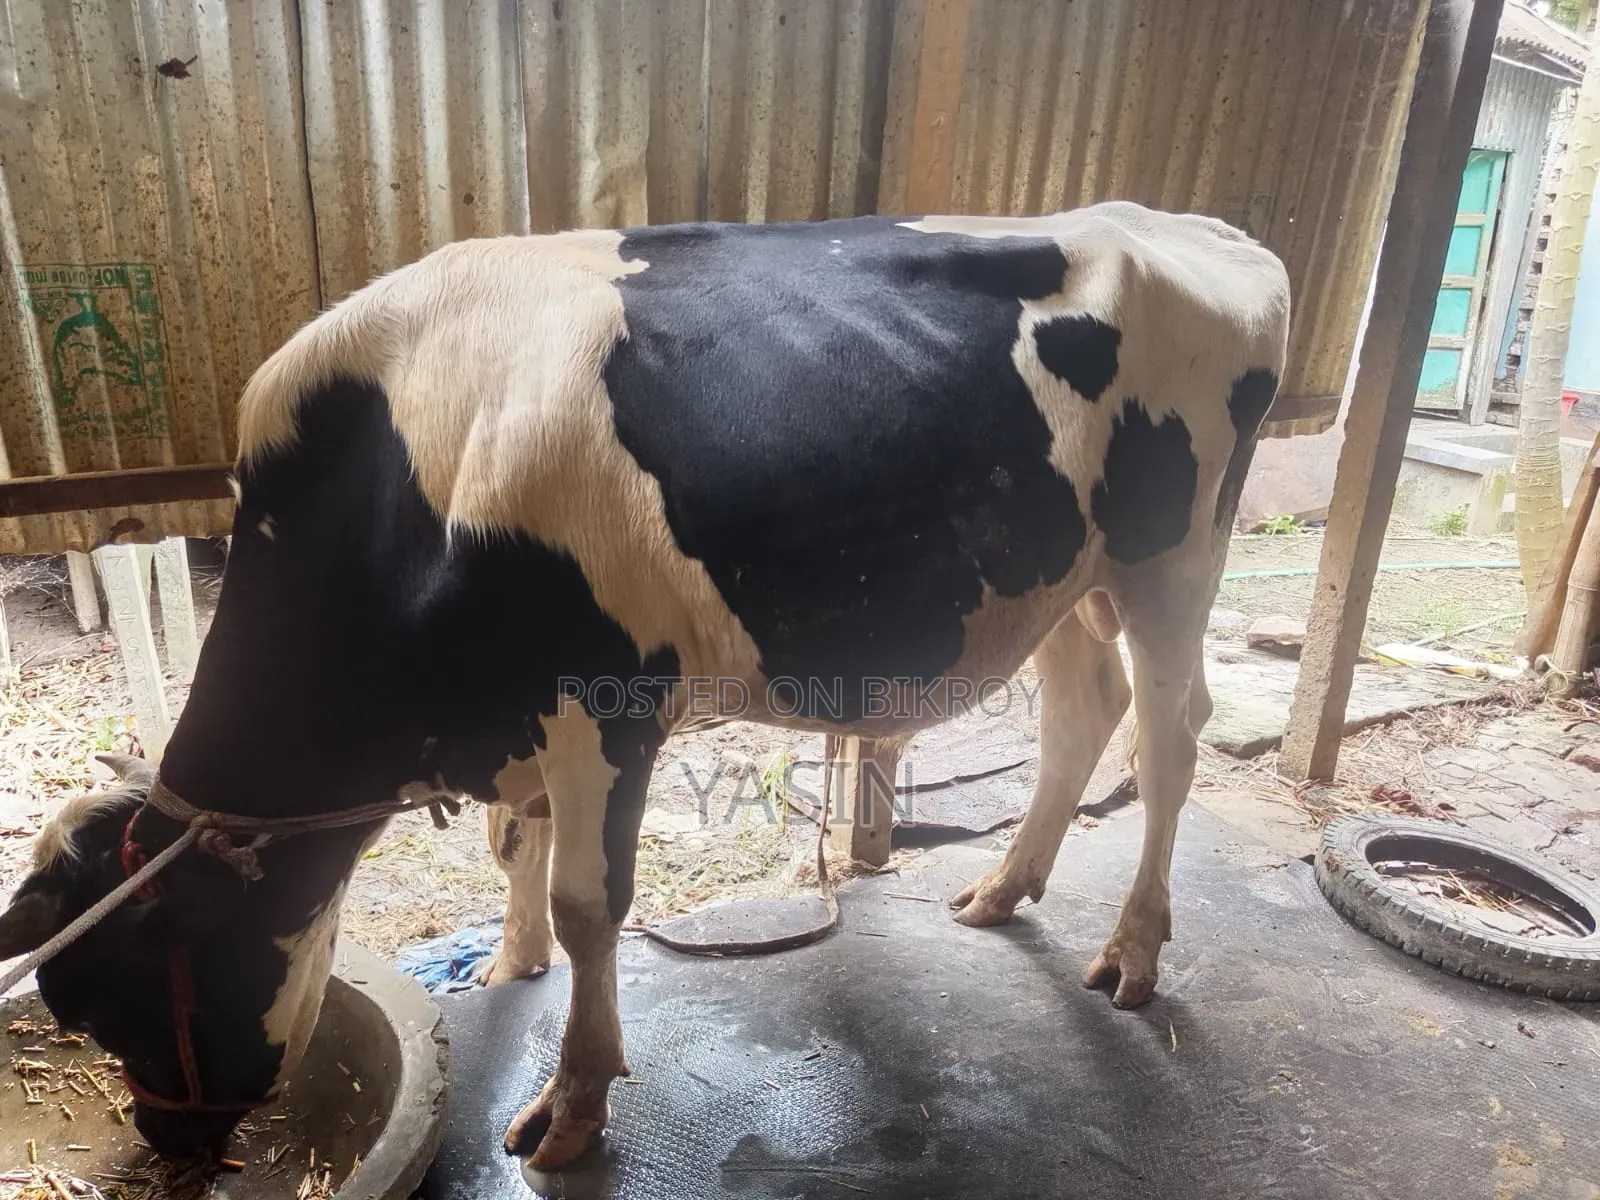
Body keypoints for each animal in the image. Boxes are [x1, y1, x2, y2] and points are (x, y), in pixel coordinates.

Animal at [0, 202, 1289, 1170]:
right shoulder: (521, 721)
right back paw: (1004, 888)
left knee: (1170, 736)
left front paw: (572, 1103)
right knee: (1085, 709)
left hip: (1172, 555)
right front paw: (510, 970)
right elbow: (514, 857)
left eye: (107, 999)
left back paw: (1133, 950)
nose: (164, 1143)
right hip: (1058, 575)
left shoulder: (602, 709)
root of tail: (1188, 224)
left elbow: (587, 905)